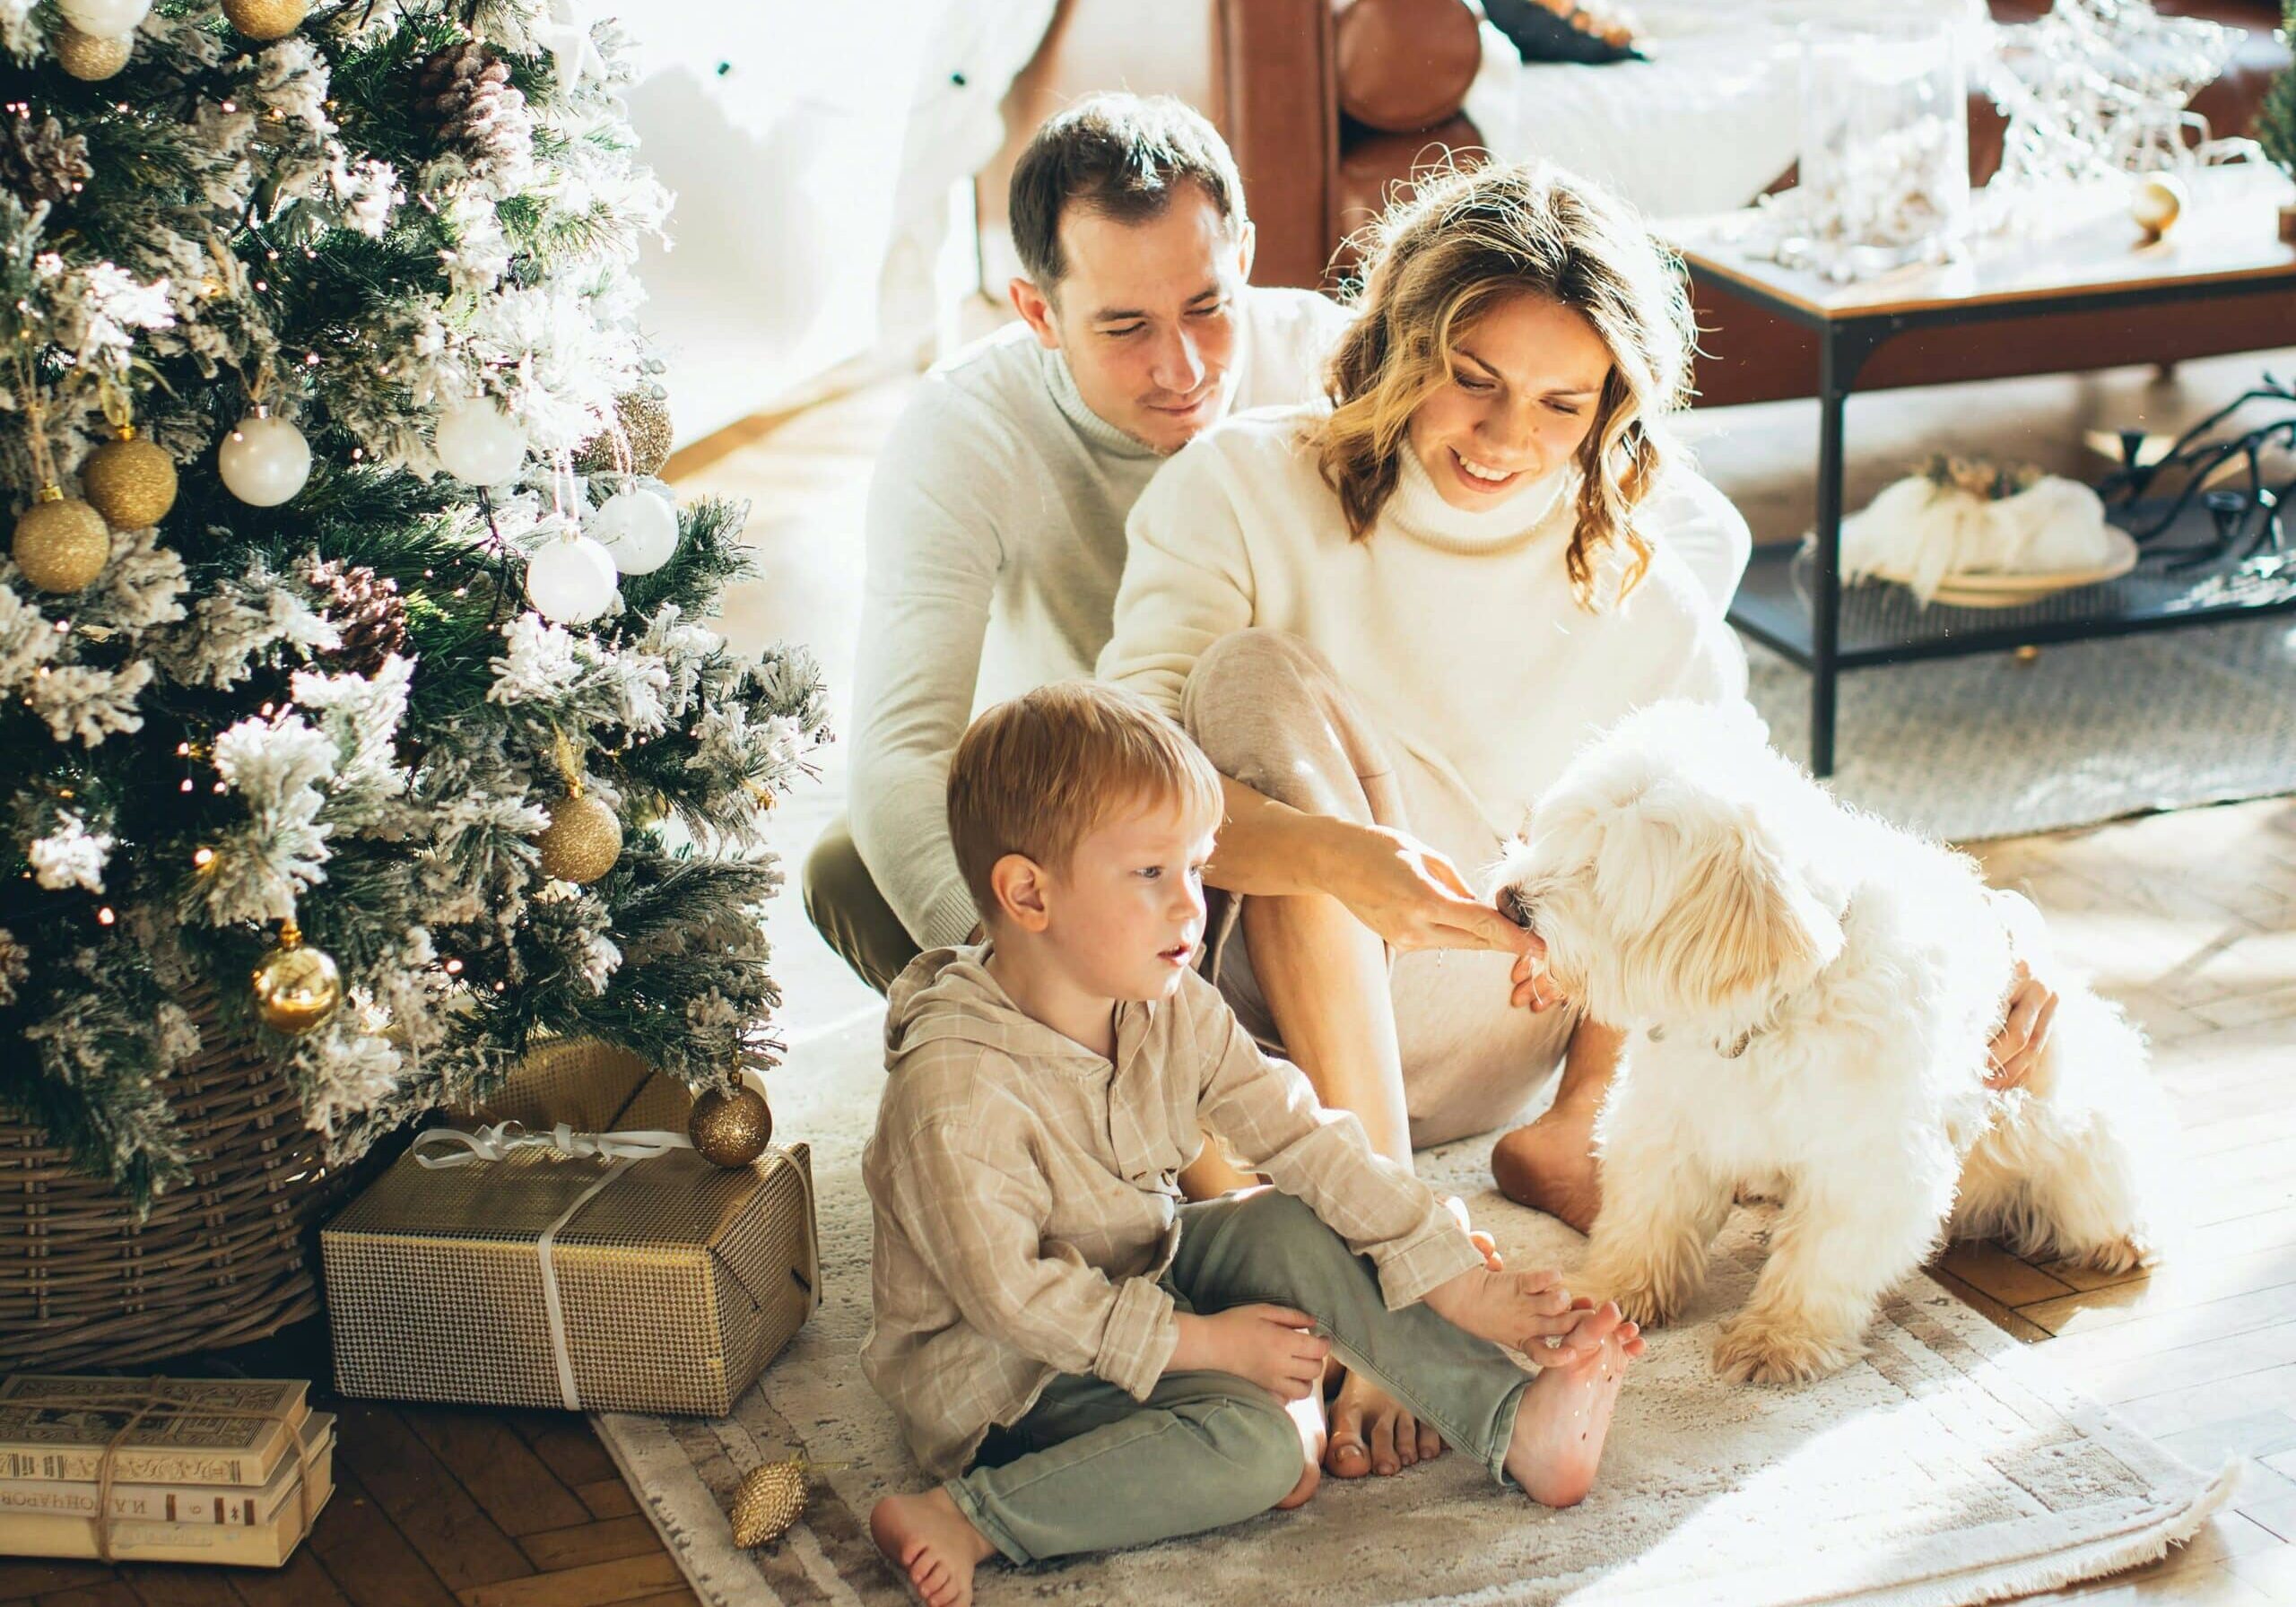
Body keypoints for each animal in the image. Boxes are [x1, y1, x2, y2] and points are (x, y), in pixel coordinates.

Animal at [1497, 702, 2158, 1377]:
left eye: (1599, 873)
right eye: (1558, 836)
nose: (1510, 903)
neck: (1771, 1014)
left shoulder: (1870, 1160)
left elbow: (1822, 1257)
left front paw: (1779, 1337)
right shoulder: (1667, 1121)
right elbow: (1644, 1220)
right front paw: (1611, 1292)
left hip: (2080, 1141)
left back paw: (2122, 1237)